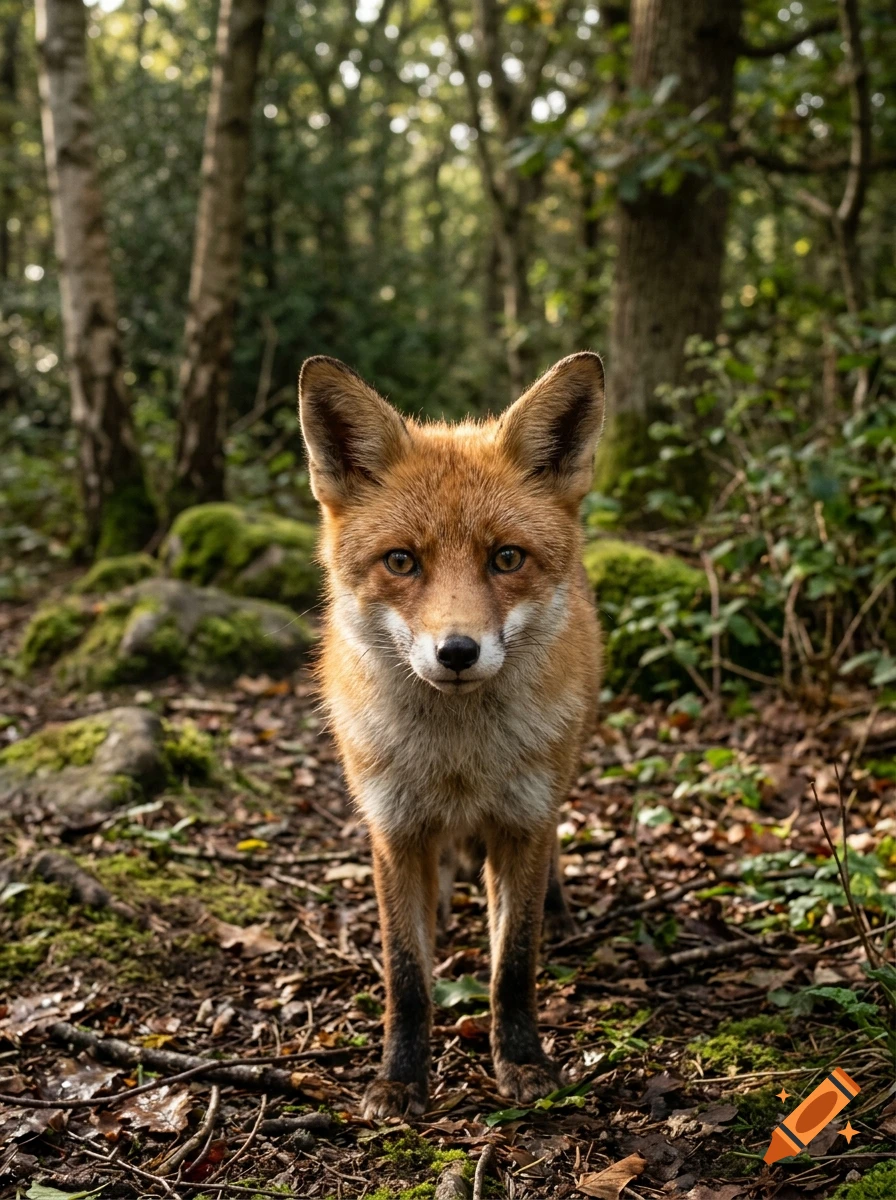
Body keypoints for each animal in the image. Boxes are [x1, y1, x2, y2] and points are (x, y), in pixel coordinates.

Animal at [298, 351, 604, 1119]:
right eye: (402, 561)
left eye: (506, 559)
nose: (458, 652)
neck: (460, 762)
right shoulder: (395, 829)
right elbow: (407, 979)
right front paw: (400, 1078)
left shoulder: (522, 822)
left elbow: (512, 967)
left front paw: (521, 1061)